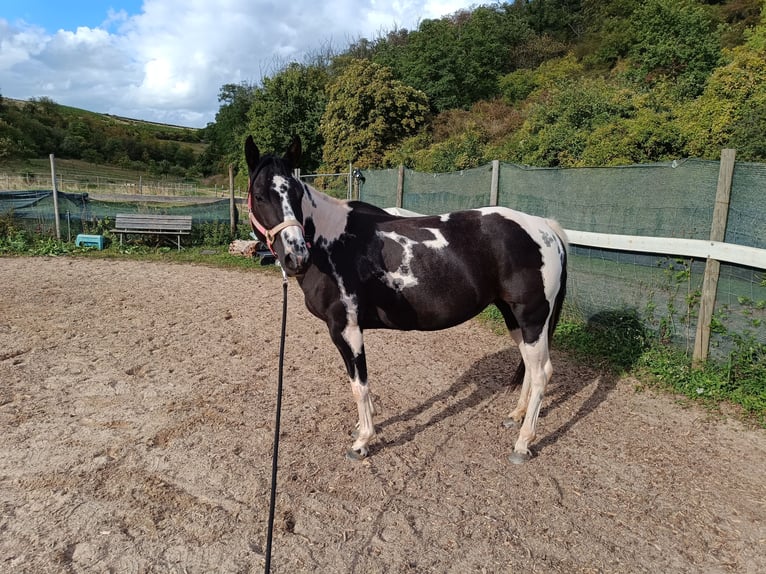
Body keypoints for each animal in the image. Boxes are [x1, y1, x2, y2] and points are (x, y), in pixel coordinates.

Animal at [244, 135, 568, 464]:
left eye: (296, 194)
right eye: (259, 195)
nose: (296, 255)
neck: (331, 243)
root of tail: (544, 228)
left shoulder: (345, 328)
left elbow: (359, 385)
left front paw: (362, 441)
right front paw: (363, 426)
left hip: (531, 318)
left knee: (541, 373)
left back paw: (522, 443)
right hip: (514, 317)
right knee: (529, 365)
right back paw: (516, 415)